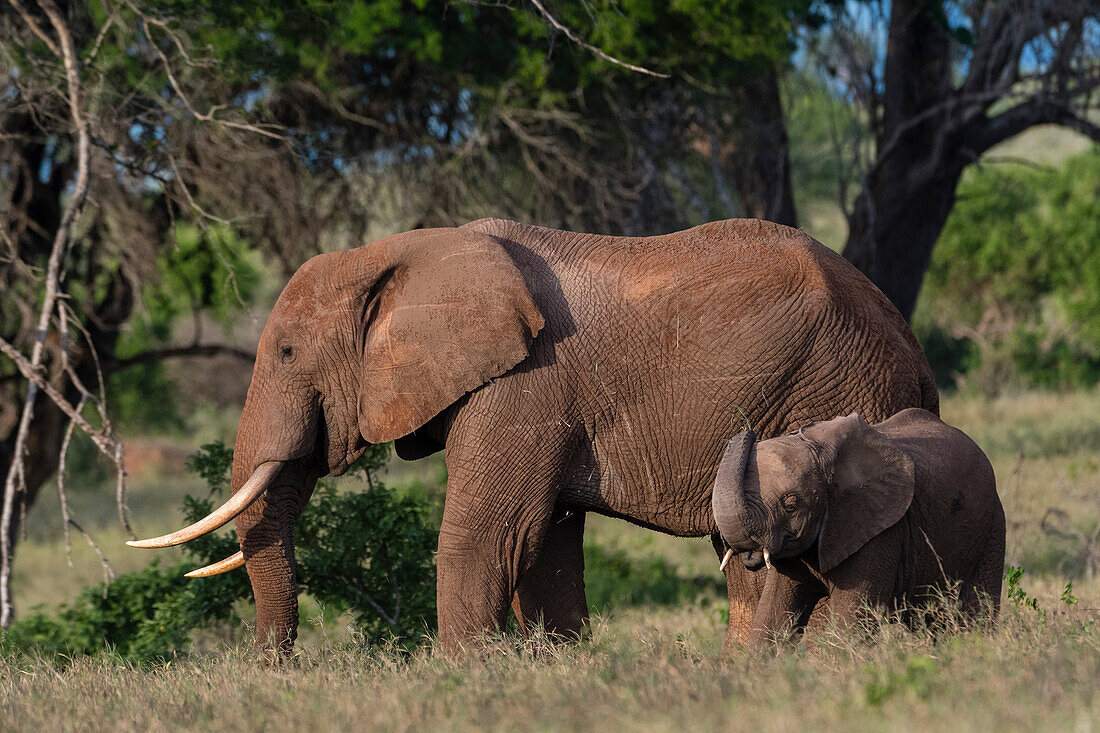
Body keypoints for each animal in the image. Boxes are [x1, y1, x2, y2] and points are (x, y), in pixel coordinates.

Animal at [126, 215, 937, 651]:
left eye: (288, 354)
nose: (279, 670)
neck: (406, 251)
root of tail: (911, 342)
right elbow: (545, 545)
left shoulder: (524, 385)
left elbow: (488, 533)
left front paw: (461, 681)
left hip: (839, 386)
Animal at [712, 407, 1007, 642]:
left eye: (791, 504)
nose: (746, 425)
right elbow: (771, 615)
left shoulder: (878, 529)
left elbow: (850, 621)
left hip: (992, 525)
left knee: (976, 609)